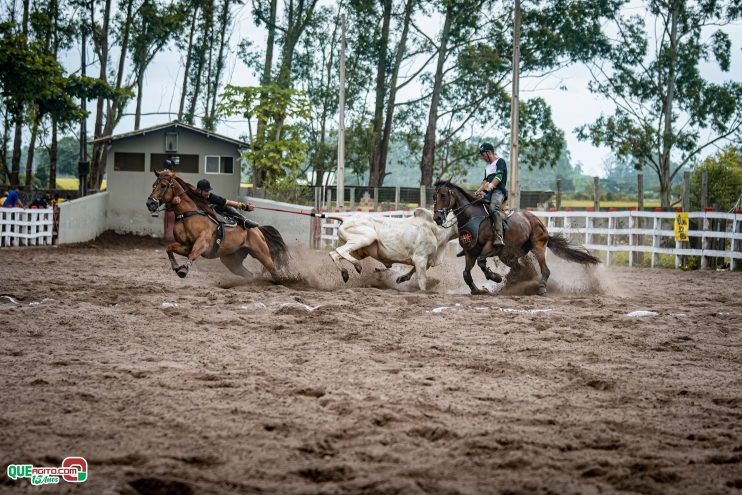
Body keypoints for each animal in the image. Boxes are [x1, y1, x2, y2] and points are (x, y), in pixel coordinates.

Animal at [146, 170, 290, 280]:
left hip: (262, 253)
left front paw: (183, 270)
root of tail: (258, 230)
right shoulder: (185, 246)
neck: (188, 214)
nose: (150, 203)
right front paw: (176, 266)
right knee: (249, 274)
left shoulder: (202, 243)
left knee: (273, 270)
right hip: (231, 260)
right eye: (153, 185)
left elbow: (193, 254)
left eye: (163, 185)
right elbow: (169, 248)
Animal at [328, 208, 456, 290]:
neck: (435, 229)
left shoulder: (426, 262)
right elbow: (422, 280)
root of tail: (345, 218)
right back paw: (357, 266)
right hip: (364, 239)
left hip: (360, 251)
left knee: (334, 253)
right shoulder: (420, 259)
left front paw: (401, 278)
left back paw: (345, 273)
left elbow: (411, 273)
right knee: (341, 251)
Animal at [434, 181, 600, 294]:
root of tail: (538, 222)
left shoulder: (490, 247)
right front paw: (478, 290)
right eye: (434, 197)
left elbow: (481, 262)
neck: (473, 217)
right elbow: (466, 273)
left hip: (538, 247)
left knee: (545, 270)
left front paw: (496, 277)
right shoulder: (470, 251)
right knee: (519, 268)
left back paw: (540, 287)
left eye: (443, 195)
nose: (437, 217)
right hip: (508, 255)